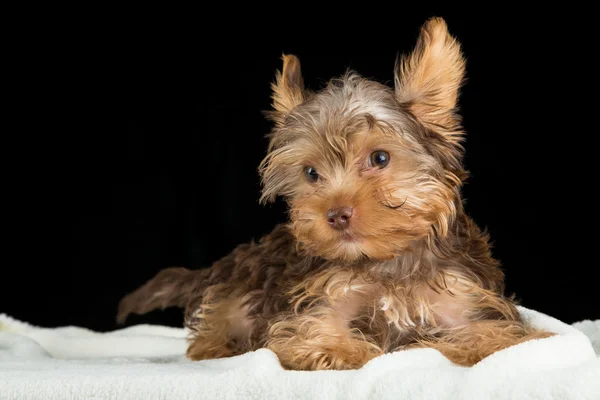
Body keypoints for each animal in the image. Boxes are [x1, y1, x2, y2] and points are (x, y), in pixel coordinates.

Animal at [117, 17, 552, 370]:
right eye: (311, 173)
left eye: (380, 158)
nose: (336, 214)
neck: (387, 263)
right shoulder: (320, 298)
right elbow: (318, 334)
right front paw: (341, 350)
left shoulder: (467, 301)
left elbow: (493, 338)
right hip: (237, 291)